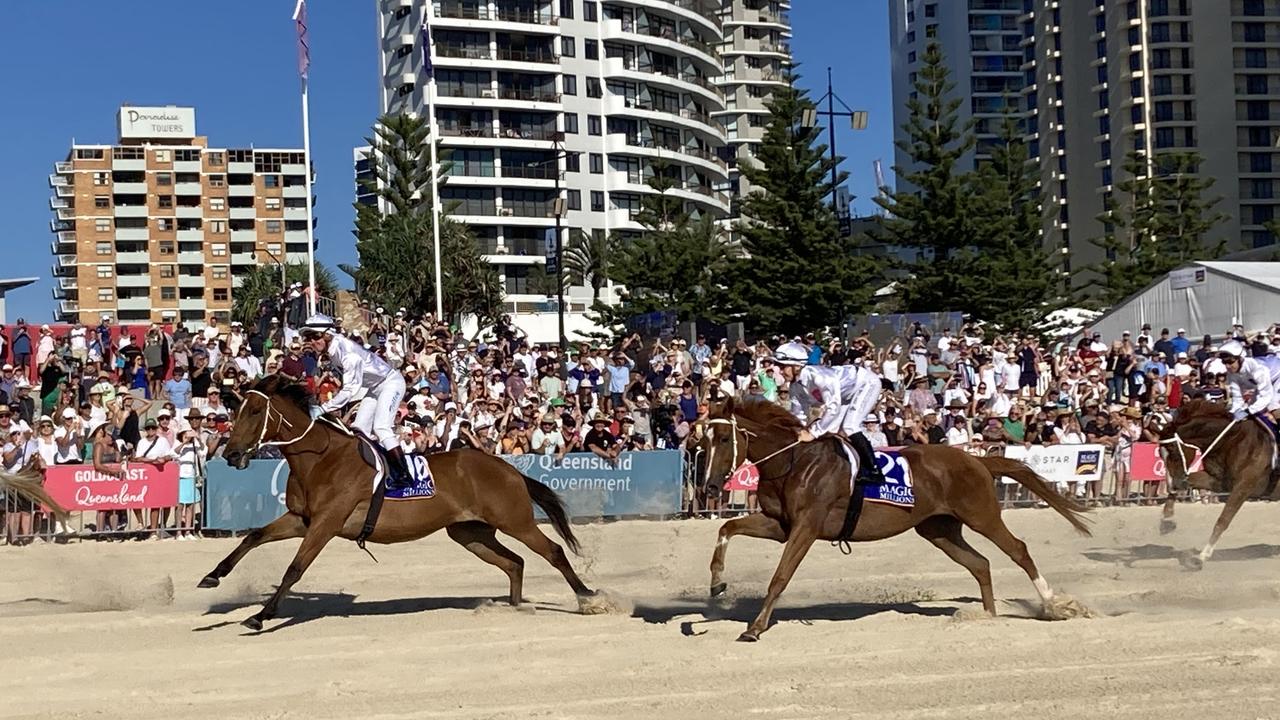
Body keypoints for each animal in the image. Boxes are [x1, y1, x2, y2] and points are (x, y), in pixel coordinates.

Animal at [199, 376, 599, 627]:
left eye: (254, 412)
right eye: (234, 413)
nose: (232, 454)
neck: (321, 458)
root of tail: (507, 468)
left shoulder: (326, 523)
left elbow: (294, 568)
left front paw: (260, 615)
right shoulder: (301, 518)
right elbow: (254, 536)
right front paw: (212, 576)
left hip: (515, 520)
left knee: (552, 552)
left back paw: (589, 597)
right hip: (469, 532)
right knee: (514, 562)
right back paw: (514, 608)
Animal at [701, 397, 1090, 638]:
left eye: (722, 438)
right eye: (700, 442)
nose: (709, 486)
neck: (794, 462)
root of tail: (978, 460)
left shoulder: (806, 527)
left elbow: (780, 577)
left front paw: (755, 628)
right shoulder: (780, 525)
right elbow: (726, 527)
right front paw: (717, 583)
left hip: (982, 515)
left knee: (1018, 550)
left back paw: (1054, 606)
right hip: (938, 529)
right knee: (980, 564)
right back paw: (988, 617)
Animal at [1157, 397, 1274, 566]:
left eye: (1173, 452)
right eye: (1160, 453)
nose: (1171, 480)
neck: (1234, 440)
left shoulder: (1243, 487)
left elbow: (1223, 520)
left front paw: (1202, 556)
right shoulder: (1218, 481)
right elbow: (1185, 483)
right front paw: (1167, 520)